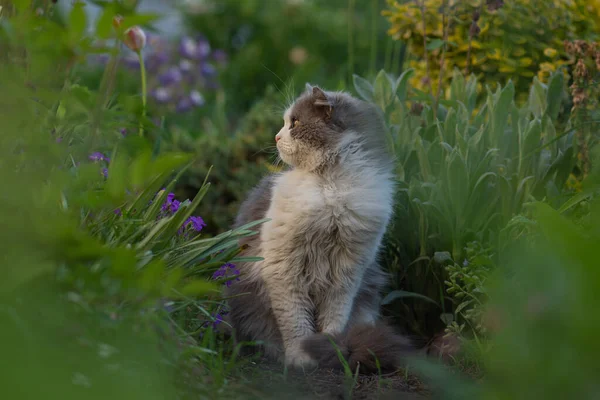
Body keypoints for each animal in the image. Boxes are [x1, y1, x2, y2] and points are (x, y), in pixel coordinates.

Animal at [223, 83, 414, 372]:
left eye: (295, 122)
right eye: (285, 122)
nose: (276, 137)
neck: (330, 189)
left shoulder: (347, 274)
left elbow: (333, 319)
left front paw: (330, 348)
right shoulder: (285, 270)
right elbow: (295, 324)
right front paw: (301, 359)